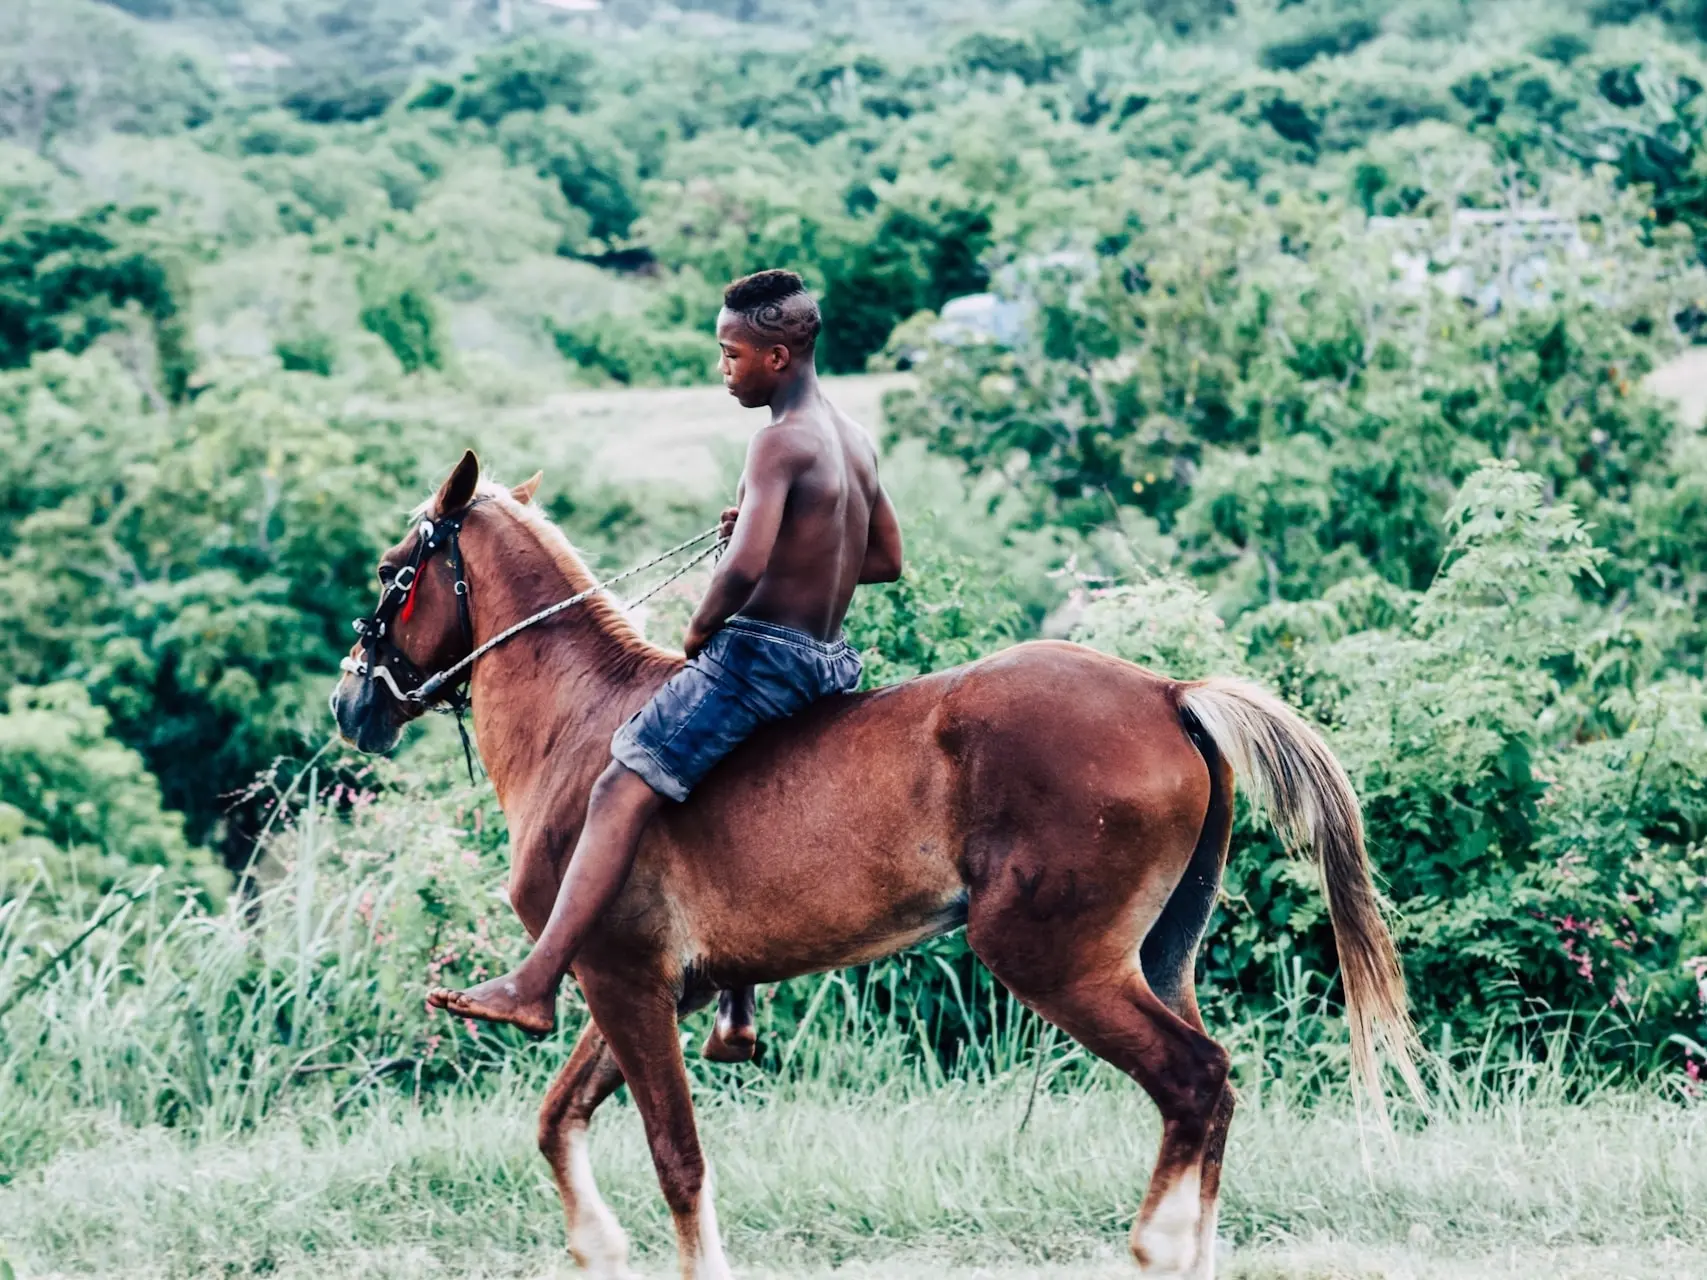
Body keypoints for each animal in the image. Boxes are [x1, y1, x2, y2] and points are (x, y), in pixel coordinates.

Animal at [329, 457, 1413, 1280]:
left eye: (392, 573)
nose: (350, 703)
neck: (579, 723)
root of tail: (1164, 691)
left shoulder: (620, 976)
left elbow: (677, 1157)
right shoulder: (648, 987)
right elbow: (560, 1120)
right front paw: (595, 1244)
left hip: (1056, 960)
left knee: (1193, 1079)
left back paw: (1156, 1244)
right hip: (1156, 956)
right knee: (1210, 1090)